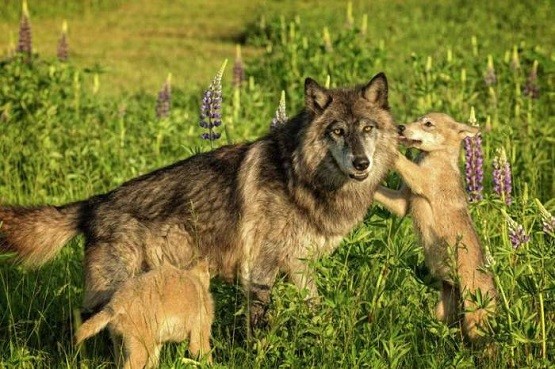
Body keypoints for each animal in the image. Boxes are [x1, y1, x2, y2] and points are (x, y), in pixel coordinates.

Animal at [0, 72, 400, 328]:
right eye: (337, 131)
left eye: (367, 129)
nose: (361, 163)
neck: (298, 176)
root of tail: (93, 202)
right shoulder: (260, 272)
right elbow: (260, 328)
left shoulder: (300, 268)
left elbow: (316, 312)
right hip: (108, 290)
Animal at [74, 260, 213, 366]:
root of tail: (118, 300)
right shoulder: (200, 336)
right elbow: (206, 357)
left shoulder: (157, 344)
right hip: (139, 351)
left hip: (120, 345)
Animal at [376, 111, 498, 340]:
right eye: (416, 119)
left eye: (428, 124)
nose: (400, 127)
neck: (435, 158)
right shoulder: (401, 204)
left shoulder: (420, 180)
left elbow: (399, 158)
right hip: (444, 313)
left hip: (474, 323)